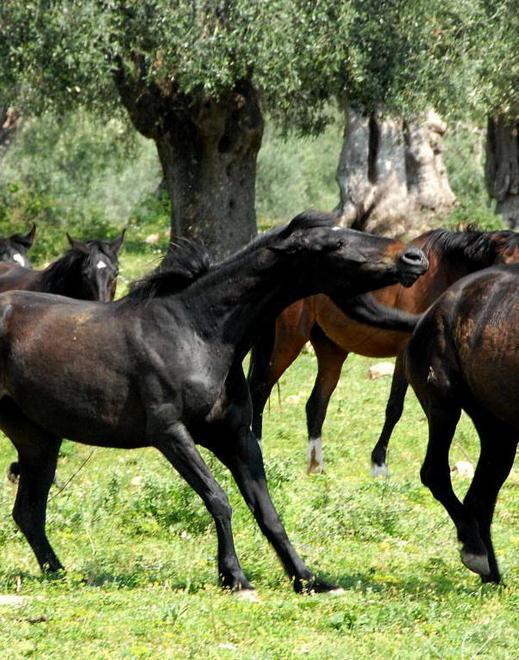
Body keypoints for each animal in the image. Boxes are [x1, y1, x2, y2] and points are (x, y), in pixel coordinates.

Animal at [0, 211, 428, 594]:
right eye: (334, 245)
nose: (414, 258)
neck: (196, 333)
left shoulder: (236, 437)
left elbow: (267, 511)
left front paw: (309, 580)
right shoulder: (171, 434)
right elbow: (218, 499)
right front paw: (234, 578)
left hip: (39, 439)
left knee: (28, 512)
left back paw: (62, 574)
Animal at [248, 227, 519, 474]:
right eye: (505, 264)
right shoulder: (405, 356)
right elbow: (395, 407)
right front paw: (379, 464)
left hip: (331, 350)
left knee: (316, 403)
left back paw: (316, 466)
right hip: (288, 343)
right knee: (260, 390)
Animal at [405, 265, 518, 583]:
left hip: (500, 432)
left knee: (479, 498)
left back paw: (491, 572)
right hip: (443, 405)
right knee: (435, 473)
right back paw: (475, 552)